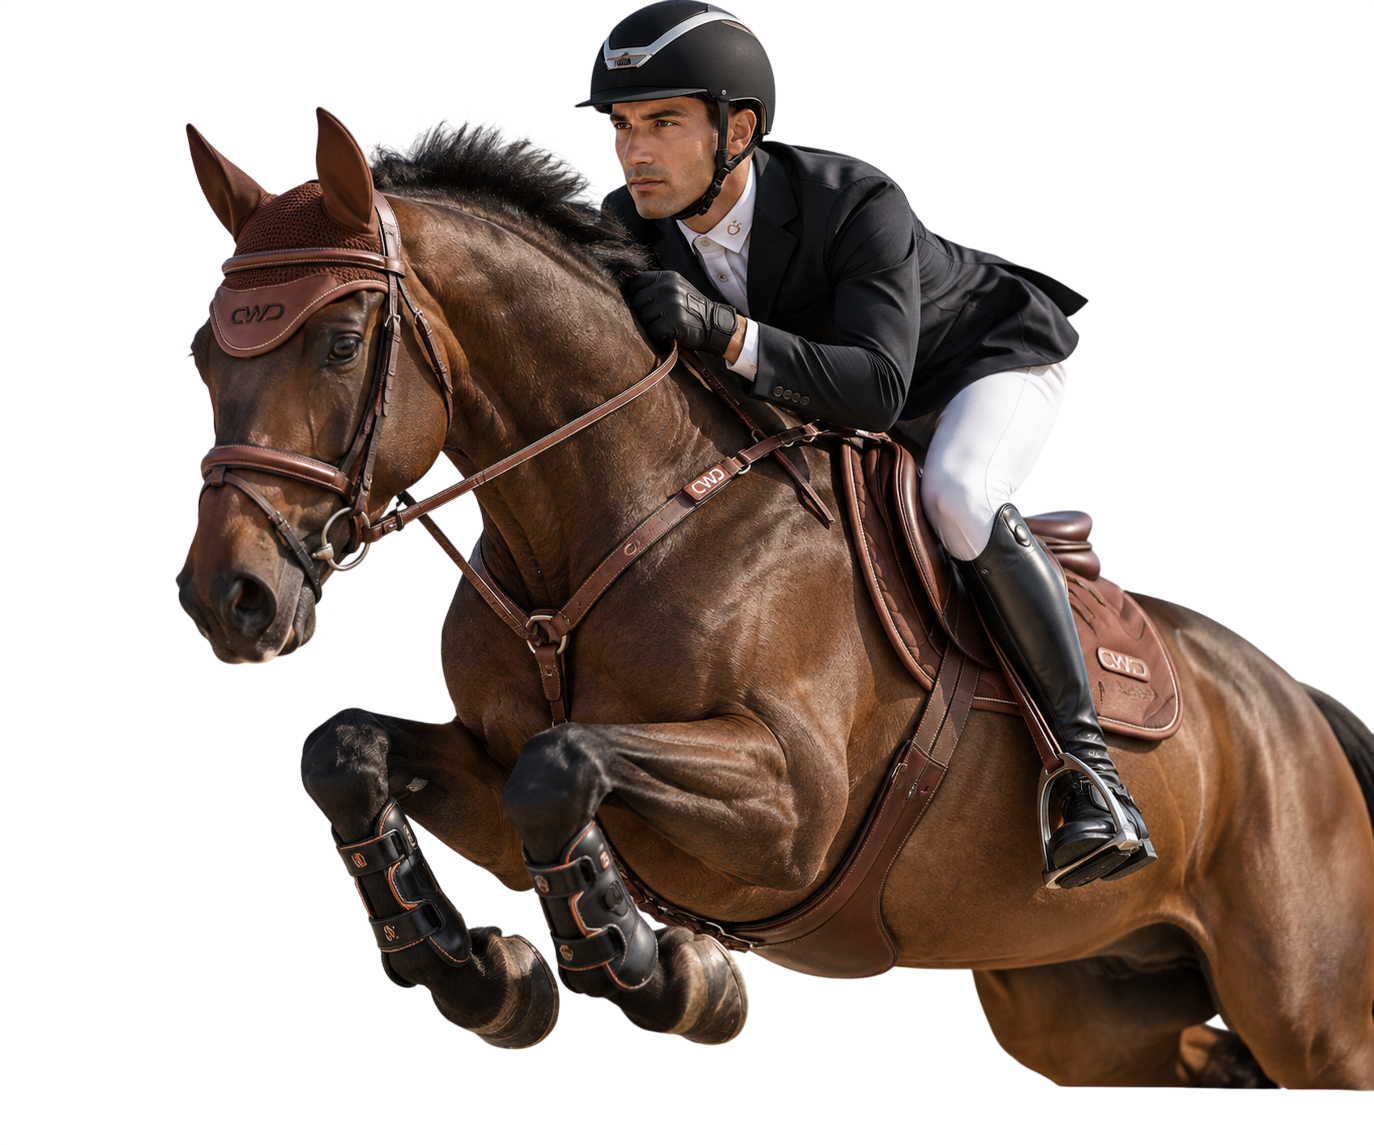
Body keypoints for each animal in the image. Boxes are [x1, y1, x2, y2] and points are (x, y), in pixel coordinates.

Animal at [177, 110, 1374, 1085]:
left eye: (340, 343)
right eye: (201, 354)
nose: (227, 599)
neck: (603, 509)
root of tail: (1295, 704)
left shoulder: (793, 804)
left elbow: (559, 764)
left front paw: (664, 969)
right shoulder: (485, 766)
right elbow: (350, 750)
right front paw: (490, 975)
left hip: (1314, 1015)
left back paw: (1097, 811)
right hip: (1085, 1008)